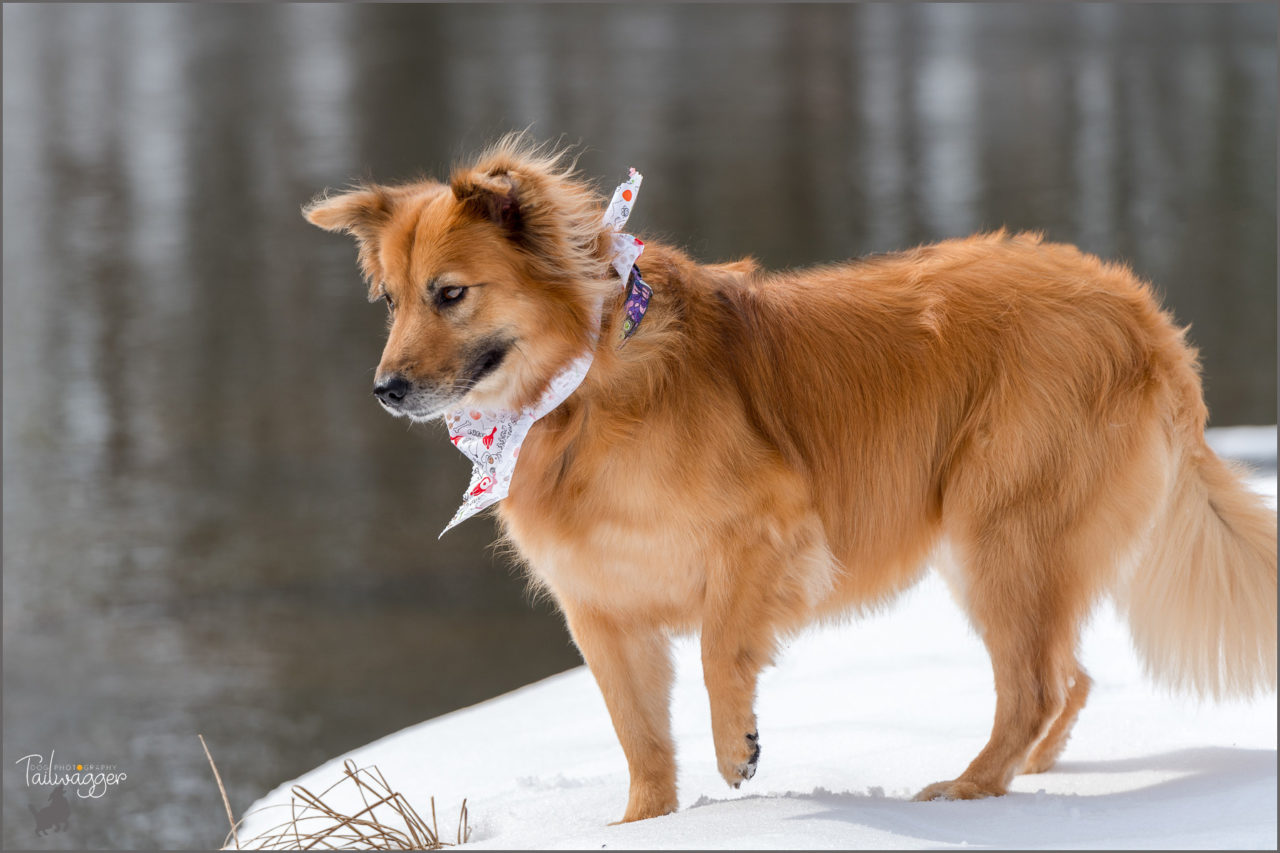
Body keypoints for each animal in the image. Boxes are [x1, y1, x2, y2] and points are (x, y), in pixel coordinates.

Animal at [304, 136, 1274, 819]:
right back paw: (1020, 776)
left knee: (1034, 683)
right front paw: (645, 823)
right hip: (997, 546)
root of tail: (1138, 309)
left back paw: (966, 793)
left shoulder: (772, 528)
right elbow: (638, 734)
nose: (386, 389)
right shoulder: (604, 608)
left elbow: (719, 645)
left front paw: (738, 749)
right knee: (1064, 678)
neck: (583, 386)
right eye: (391, 298)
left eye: (451, 293)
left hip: (1001, 532)